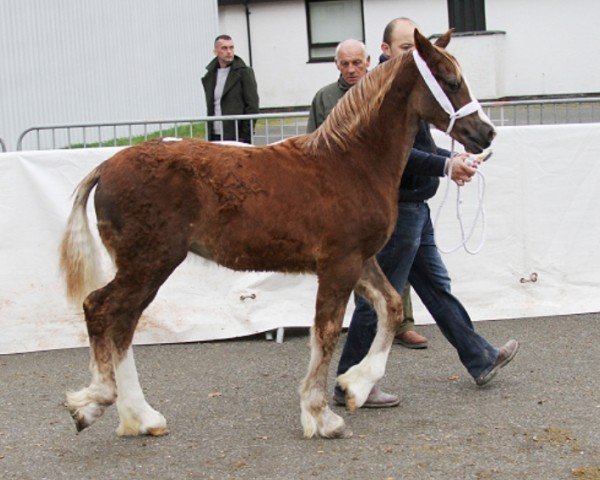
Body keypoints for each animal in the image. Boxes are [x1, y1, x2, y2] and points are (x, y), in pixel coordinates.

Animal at [61, 30, 494, 438]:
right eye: (452, 81)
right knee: (101, 309)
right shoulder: (339, 264)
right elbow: (327, 332)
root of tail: (106, 166)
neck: (351, 163)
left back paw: (141, 417)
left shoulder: (361, 260)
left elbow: (389, 307)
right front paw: (322, 416)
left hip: (147, 269)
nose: (486, 133)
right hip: (149, 264)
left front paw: (354, 386)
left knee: (122, 324)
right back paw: (95, 403)